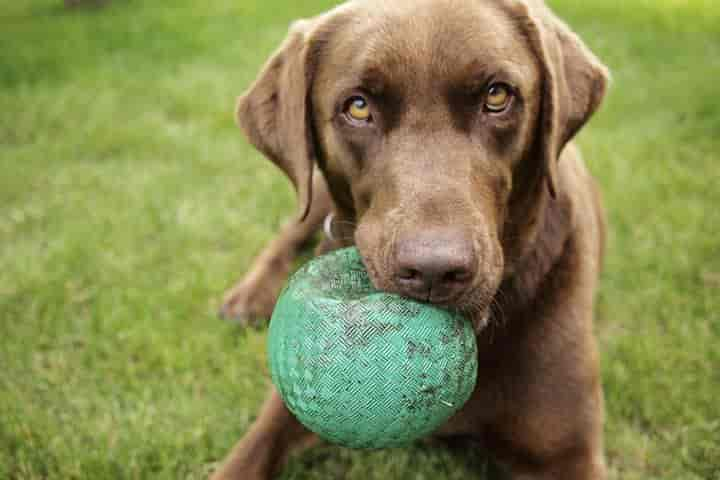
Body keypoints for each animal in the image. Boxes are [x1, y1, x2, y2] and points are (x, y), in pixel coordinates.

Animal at [212, 0, 608, 476]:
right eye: (358, 107)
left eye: (497, 96)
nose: (435, 270)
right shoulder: (289, 405)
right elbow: (245, 456)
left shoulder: (570, 453)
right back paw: (247, 298)